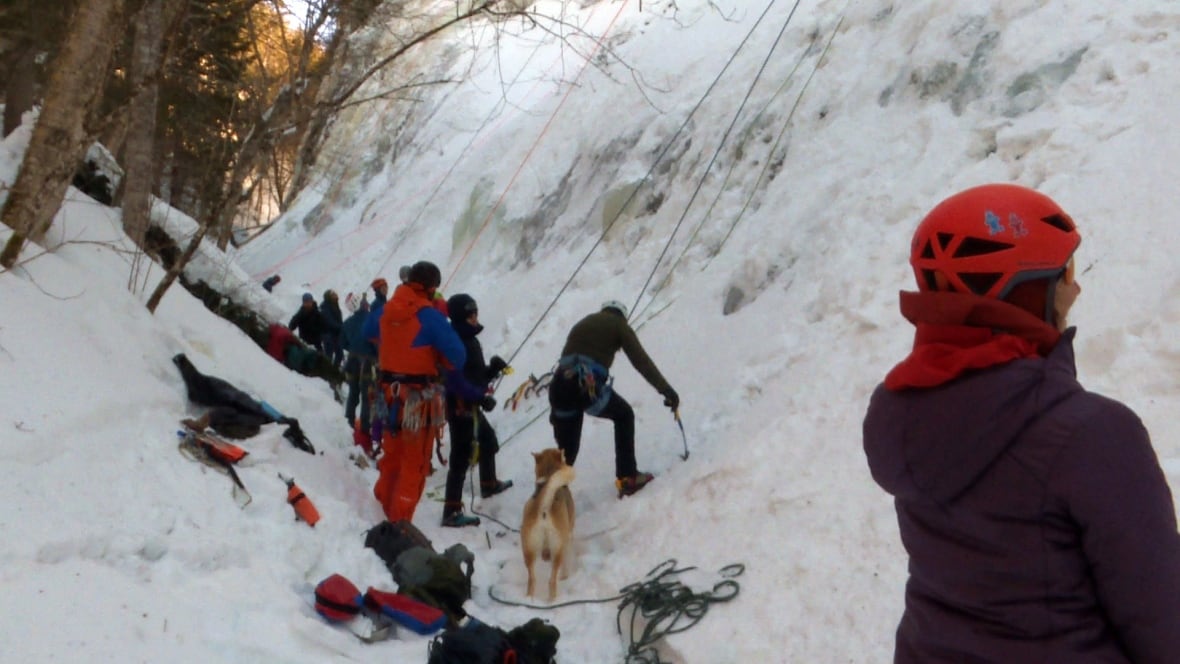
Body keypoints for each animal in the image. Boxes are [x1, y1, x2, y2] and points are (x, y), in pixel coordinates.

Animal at [521, 450, 575, 599]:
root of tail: (544, 508)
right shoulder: (567, 537)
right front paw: (565, 576)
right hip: (557, 549)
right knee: (552, 580)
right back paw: (553, 600)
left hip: (528, 550)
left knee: (532, 579)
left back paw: (530, 599)